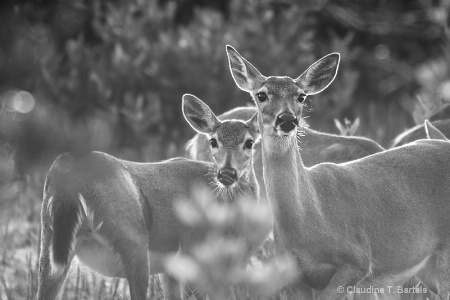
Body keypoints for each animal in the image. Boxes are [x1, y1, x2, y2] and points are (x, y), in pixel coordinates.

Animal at [37, 94, 264, 300]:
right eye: (213, 141)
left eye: (249, 142)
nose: (226, 174)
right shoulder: (195, 252)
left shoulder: (172, 268)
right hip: (132, 237)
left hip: (49, 242)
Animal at [227, 44, 450, 300]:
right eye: (261, 95)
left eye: (301, 96)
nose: (287, 119)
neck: (311, 213)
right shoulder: (295, 275)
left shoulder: (358, 259)